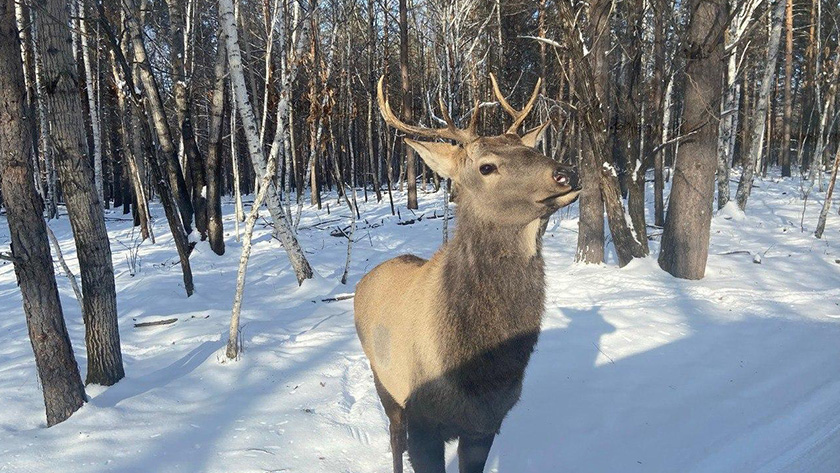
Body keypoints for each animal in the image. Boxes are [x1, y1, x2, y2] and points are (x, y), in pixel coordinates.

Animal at [352, 74, 576, 472]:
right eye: (486, 166)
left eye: (530, 149)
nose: (566, 173)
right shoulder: (422, 419)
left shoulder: (486, 423)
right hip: (383, 379)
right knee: (394, 439)